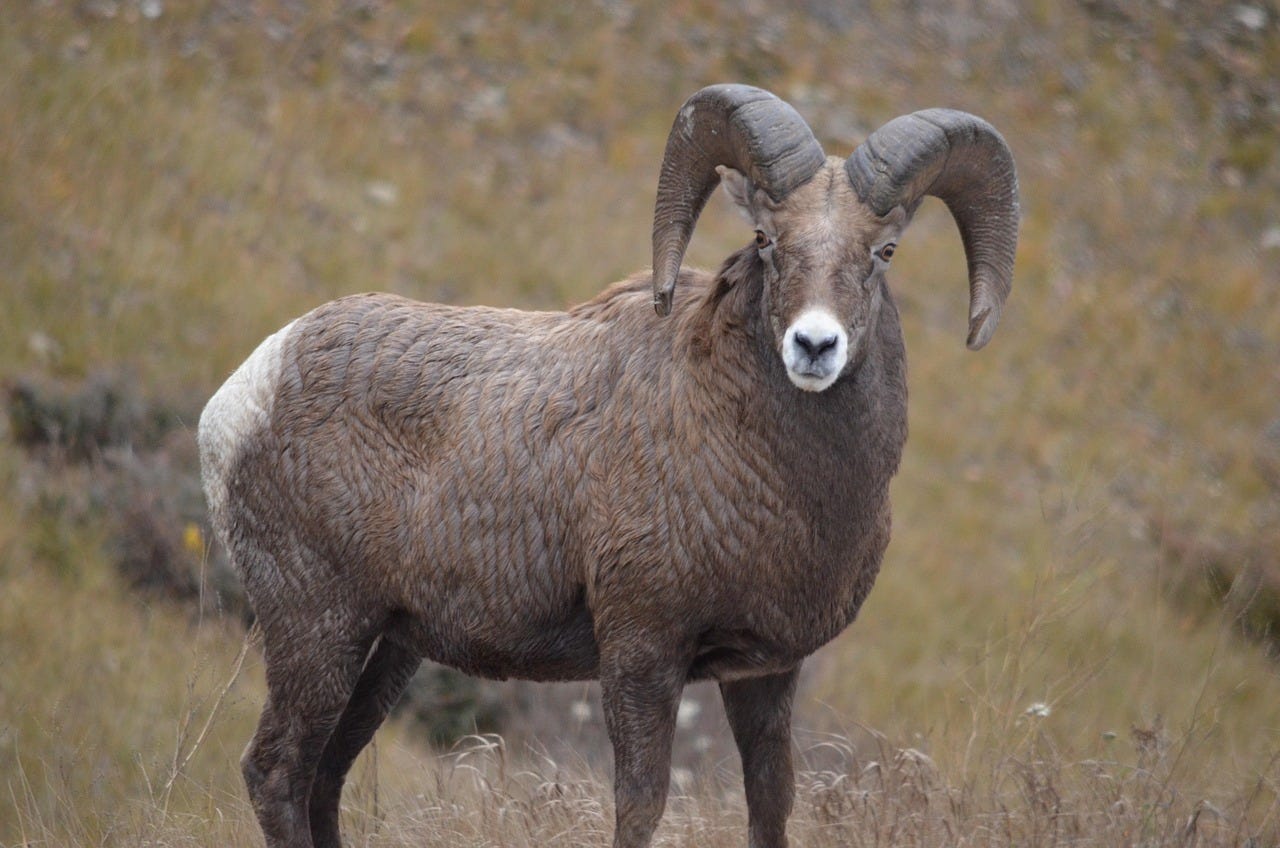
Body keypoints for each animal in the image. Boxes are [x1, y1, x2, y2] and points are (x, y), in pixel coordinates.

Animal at [198, 83, 1018, 848]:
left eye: (883, 252)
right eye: (766, 237)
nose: (814, 346)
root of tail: (245, 393)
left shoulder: (766, 674)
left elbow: (770, 806)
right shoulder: (641, 654)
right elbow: (640, 806)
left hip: (387, 650)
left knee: (326, 776)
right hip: (319, 630)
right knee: (277, 771)